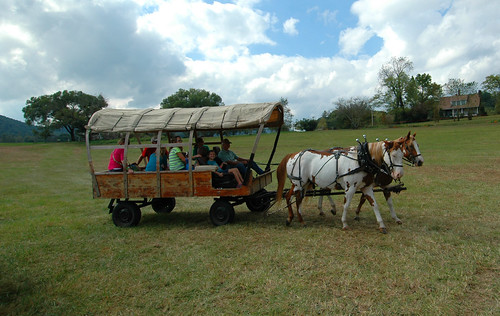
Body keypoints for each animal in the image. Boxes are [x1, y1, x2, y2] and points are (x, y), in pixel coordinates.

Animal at [276, 135, 408, 233]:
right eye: (393, 155)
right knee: (291, 197)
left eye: (403, 155)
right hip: (298, 183)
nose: (399, 174)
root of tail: (292, 155)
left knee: (295, 198)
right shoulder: (350, 187)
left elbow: (374, 205)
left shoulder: (367, 188)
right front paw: (344, 223)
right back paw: (293, 219)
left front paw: (382, 225)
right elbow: (346, 205)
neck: (361, 159)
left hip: (303, 184)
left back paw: (298, 220)